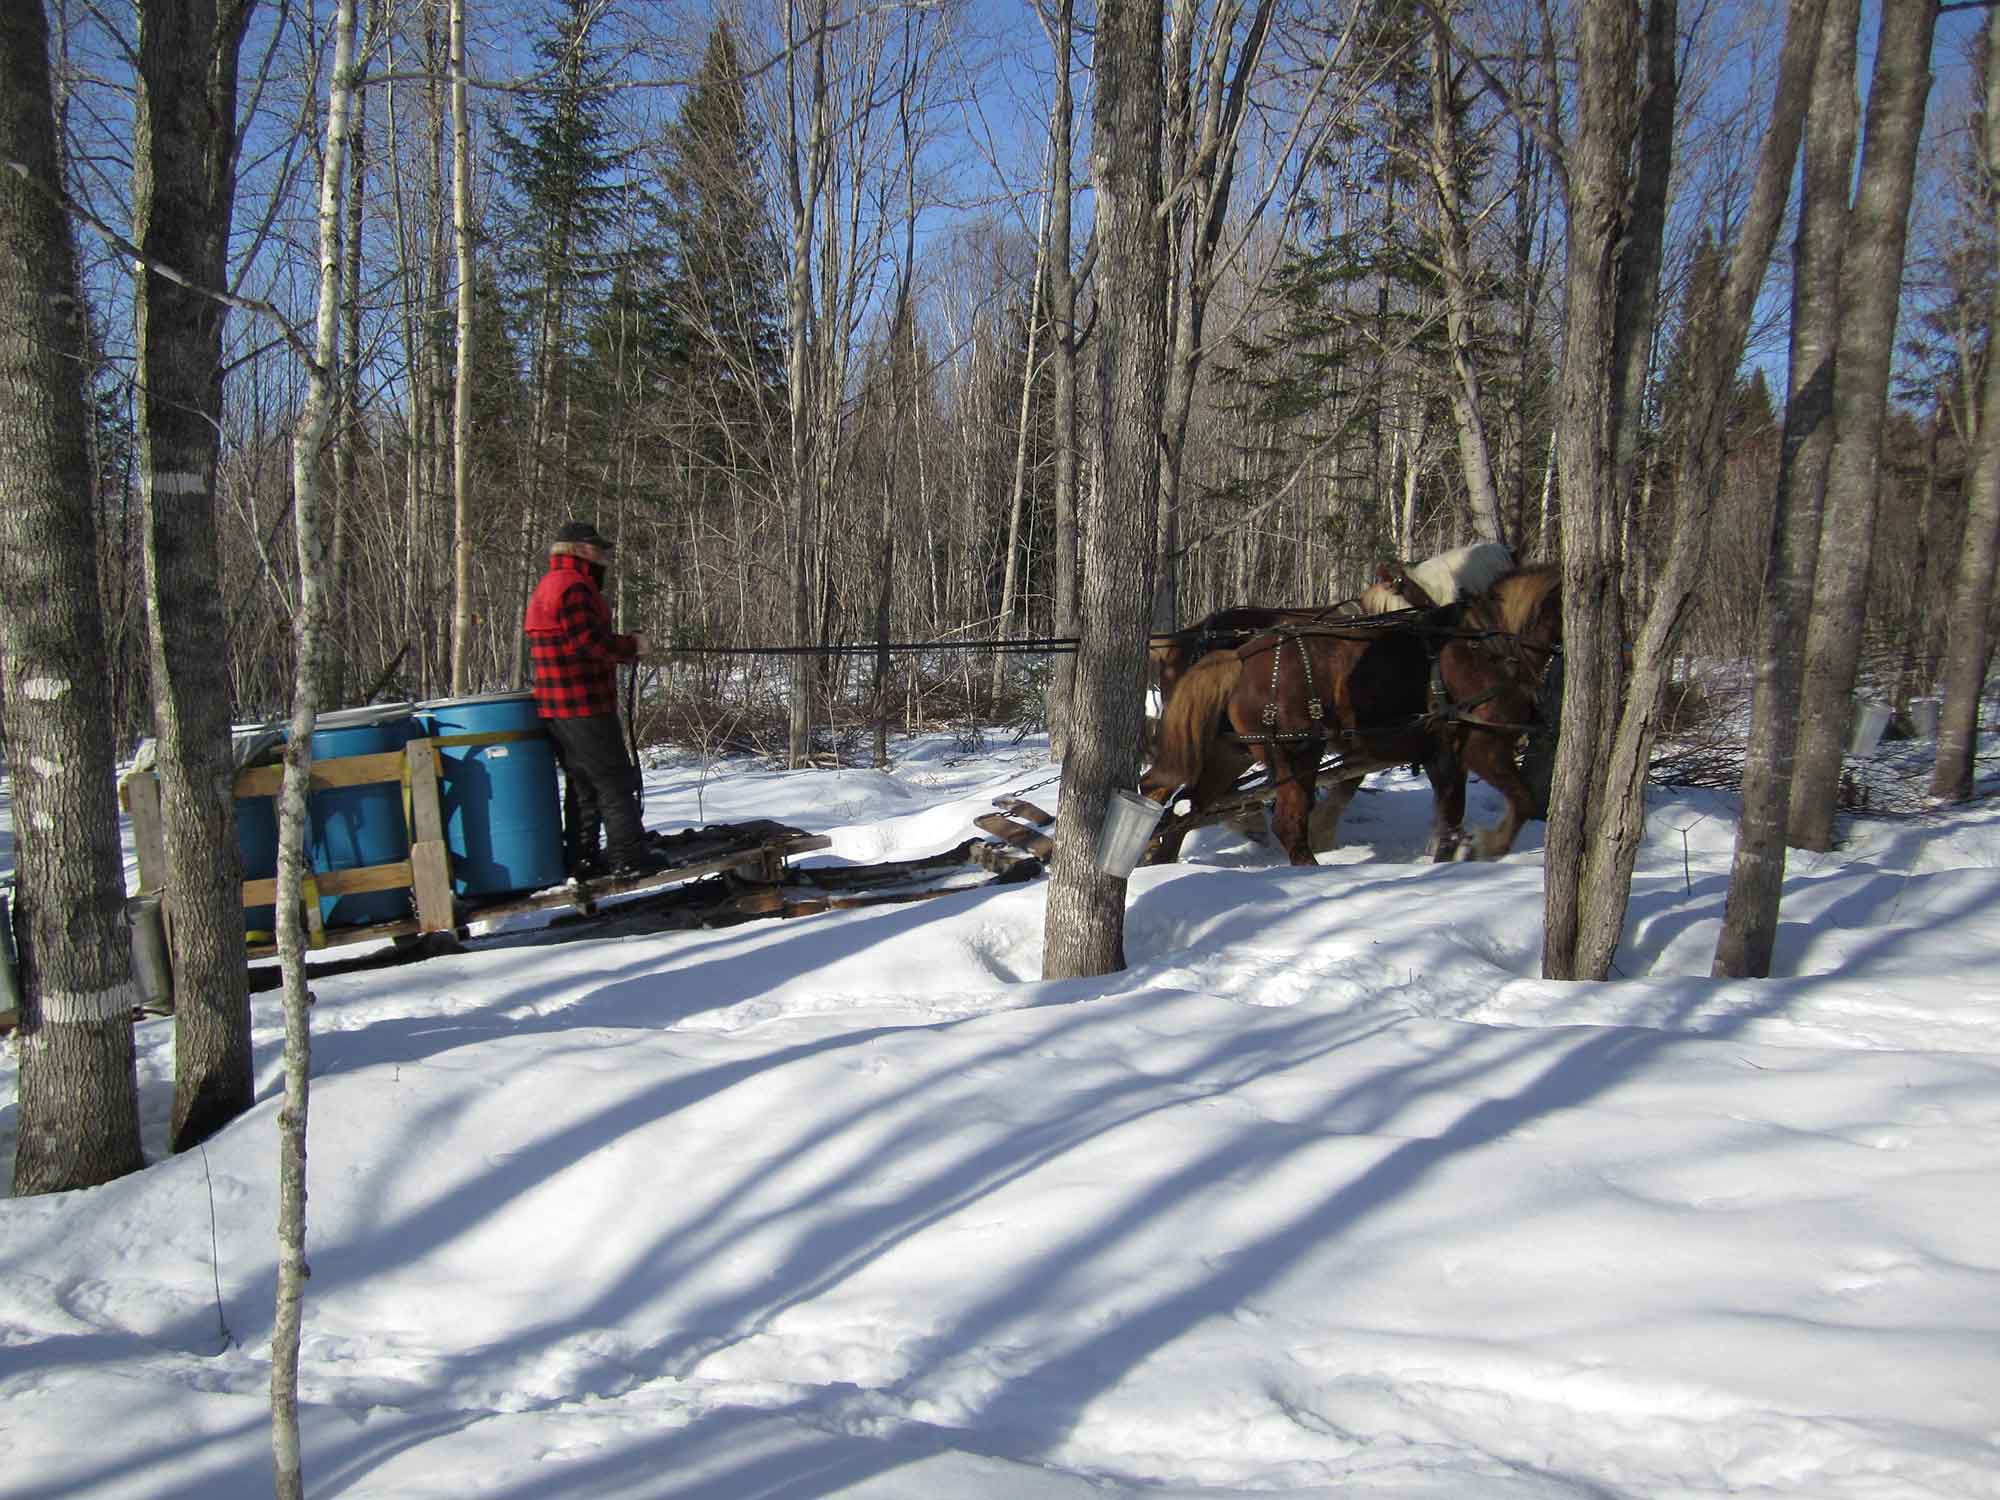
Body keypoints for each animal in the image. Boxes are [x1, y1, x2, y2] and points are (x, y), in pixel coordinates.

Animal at [1144, 568, 1560, 868]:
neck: (1488, 647)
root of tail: (1238, 654)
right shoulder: (1482, 745)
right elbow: (1522, 799)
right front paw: (1488, 847)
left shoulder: (1441, 754)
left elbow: (1451, 819)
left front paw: (1448, 861)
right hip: (1294, 752)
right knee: (1283, 821)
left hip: (1231, 751)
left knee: (1180, 801)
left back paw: (1160, 855)